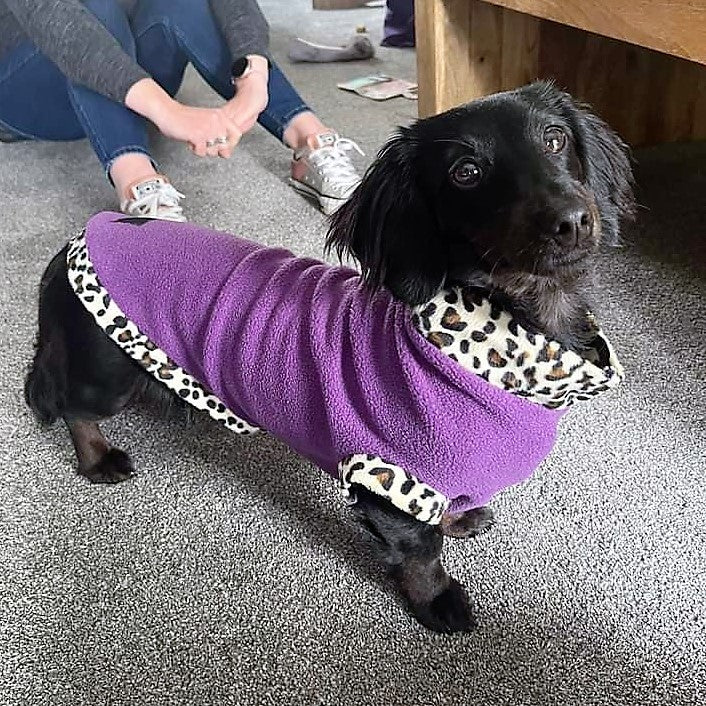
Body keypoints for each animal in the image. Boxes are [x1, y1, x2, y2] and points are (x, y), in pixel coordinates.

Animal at [26, 82, 632, 632]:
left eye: (555, 139)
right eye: (466, 173)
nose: (572, 219)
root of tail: (74, 241)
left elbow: (444, 512)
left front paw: (459, 518)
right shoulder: (387, 476)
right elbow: (421, 552)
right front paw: (439, 603)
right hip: (104, 375)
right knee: (69, 404)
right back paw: (98, 458)